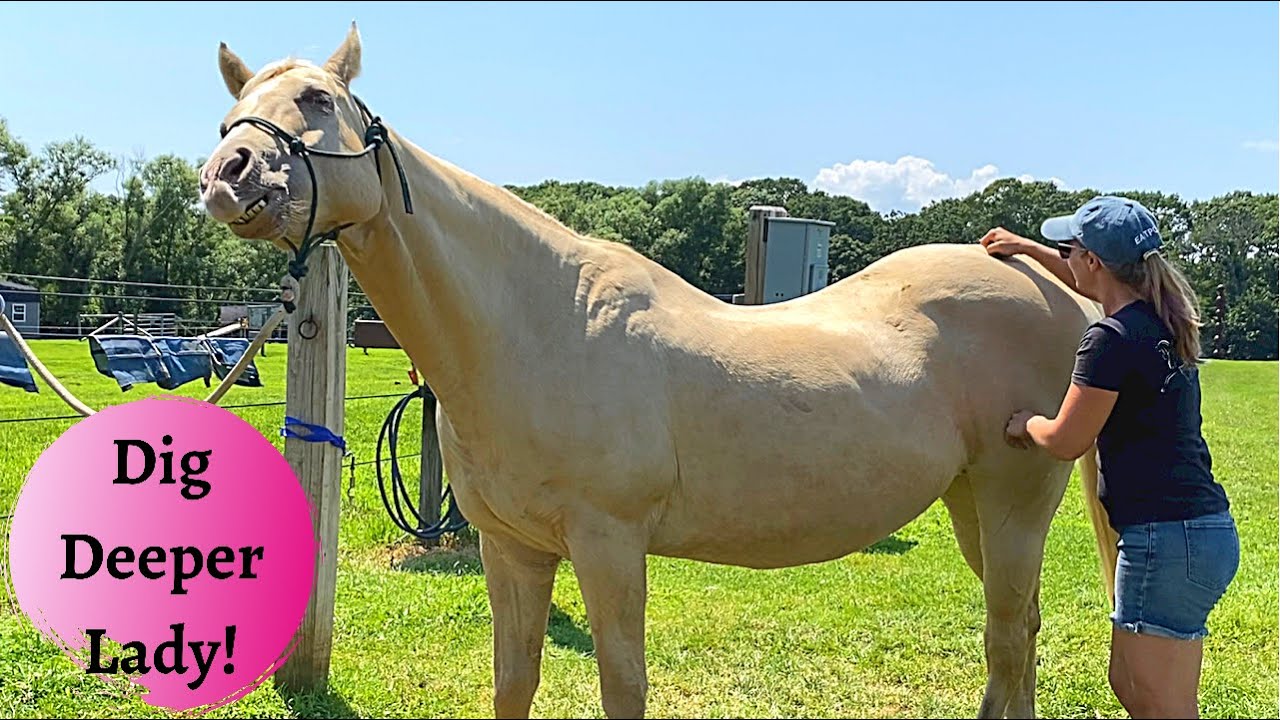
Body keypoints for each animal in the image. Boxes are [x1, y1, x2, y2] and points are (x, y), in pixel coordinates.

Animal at [197, 24, 1118, 719]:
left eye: (318, 101)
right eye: (228, 117)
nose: (226, 179)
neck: (538, 326)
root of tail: (1050, 284)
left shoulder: (610, 546)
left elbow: (622, 688)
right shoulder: (511, 551)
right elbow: (514, 684)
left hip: (1013, 506)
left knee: (1008, 641)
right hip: (971, 505)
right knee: (1020, 638)